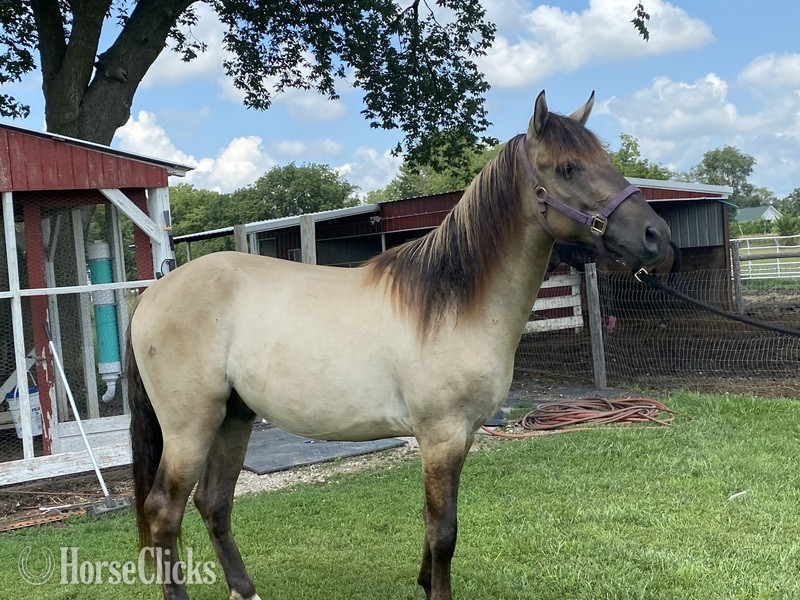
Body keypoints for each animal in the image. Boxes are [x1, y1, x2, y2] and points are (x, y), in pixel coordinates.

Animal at [127, 90, 671, 600]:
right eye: (568, 168)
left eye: (606, 159)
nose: (658, 238)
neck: (452, 303)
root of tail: (153, 293)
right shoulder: (441, 435)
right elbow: (445, 531)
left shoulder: (459, 436)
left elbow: (433, 526)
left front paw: (426, 582)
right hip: (190, 428)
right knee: (164, 511)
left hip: (233, 419)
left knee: (214, 502)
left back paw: (245, 589)